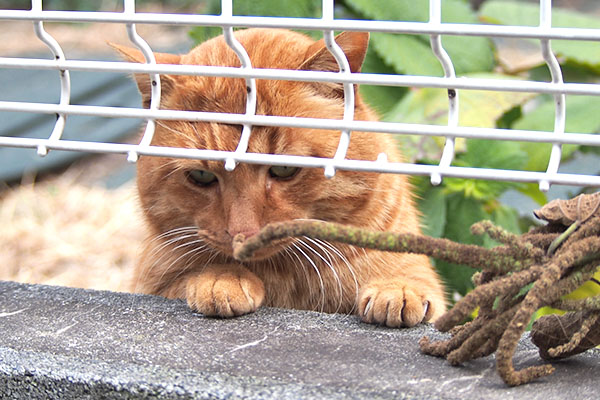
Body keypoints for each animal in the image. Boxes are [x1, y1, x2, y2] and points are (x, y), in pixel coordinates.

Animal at [116, 28, 446, 328]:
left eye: (285, 169)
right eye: (201, 175)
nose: (243, 234)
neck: (287, 277)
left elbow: (410, 278)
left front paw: (397, 289)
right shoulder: (151, 284)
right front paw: (222, 277)